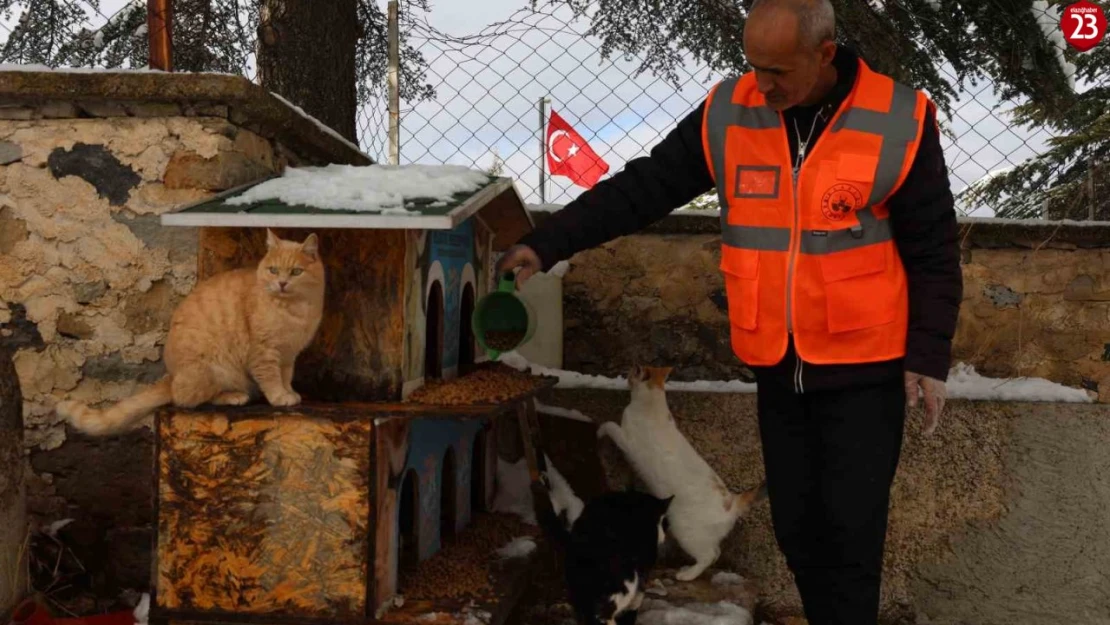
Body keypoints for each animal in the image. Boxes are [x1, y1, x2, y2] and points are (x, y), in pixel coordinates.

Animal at [56, 227, 324, 437]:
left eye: (296, 272)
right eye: (273, 270)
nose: (282, 283)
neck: (293, 309)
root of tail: (171, 376)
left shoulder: (288, 355)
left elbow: (286, 377)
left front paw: (290, 392)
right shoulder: (264, 353)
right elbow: (271, 379)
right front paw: (280, 397)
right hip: (215, 369)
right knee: (187, 399)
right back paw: (233, 396)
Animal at [532, 457, 670, 621]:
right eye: (665, 524)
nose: (664, 536)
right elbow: (633, 605)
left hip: (579, 589)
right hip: (622, 583)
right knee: (605, 613)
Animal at [594, 364, 768, 586]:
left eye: (633, 371)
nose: (626, 374)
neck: (653, 402)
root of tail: (732, 502)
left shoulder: (627, 441)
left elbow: (610, 425)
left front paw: (599, 431)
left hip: (684, 529)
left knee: (709, 555)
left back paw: (686, 575)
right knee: (716, 552)